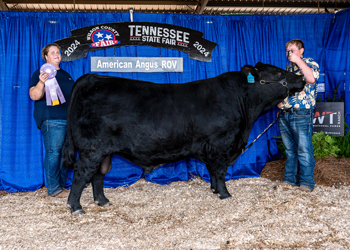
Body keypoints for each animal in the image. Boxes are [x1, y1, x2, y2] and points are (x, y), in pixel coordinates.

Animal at [64, 63, 304, 215]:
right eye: (276, 73)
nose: (301, 77)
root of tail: (93, 77)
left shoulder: (211, 147)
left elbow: (212, 171)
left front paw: (214, 190)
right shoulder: (222, 144)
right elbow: (220, 171)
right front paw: (225, 195)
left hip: (103, 151)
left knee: (98, 174)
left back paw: (102, 201)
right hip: (91, 149)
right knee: (81, 174)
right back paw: (76, 207)